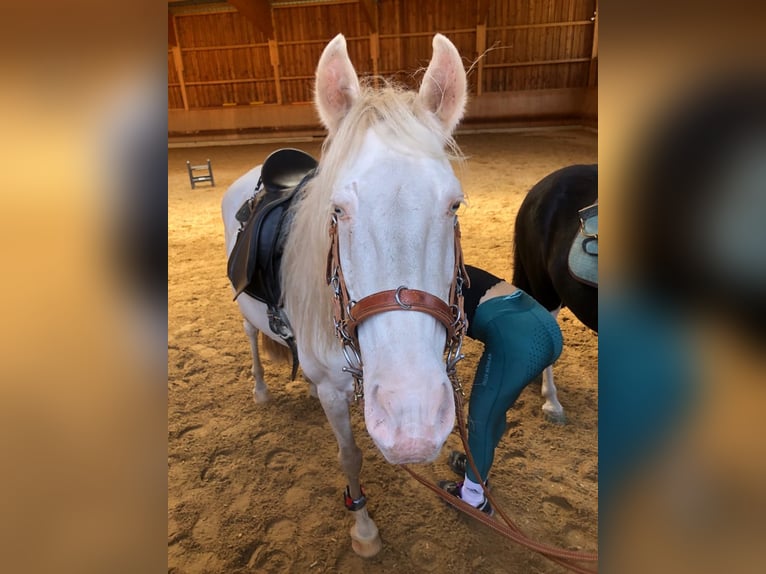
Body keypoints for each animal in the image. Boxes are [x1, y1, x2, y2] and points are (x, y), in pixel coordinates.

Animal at [222, 33, 472, 556]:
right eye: (337, 209)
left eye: (454, 204)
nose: (411, 421)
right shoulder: (333, 393)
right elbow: (350, 455)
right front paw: (363, 528)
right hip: (246, 316)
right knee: (252, 340)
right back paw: (260, 390)